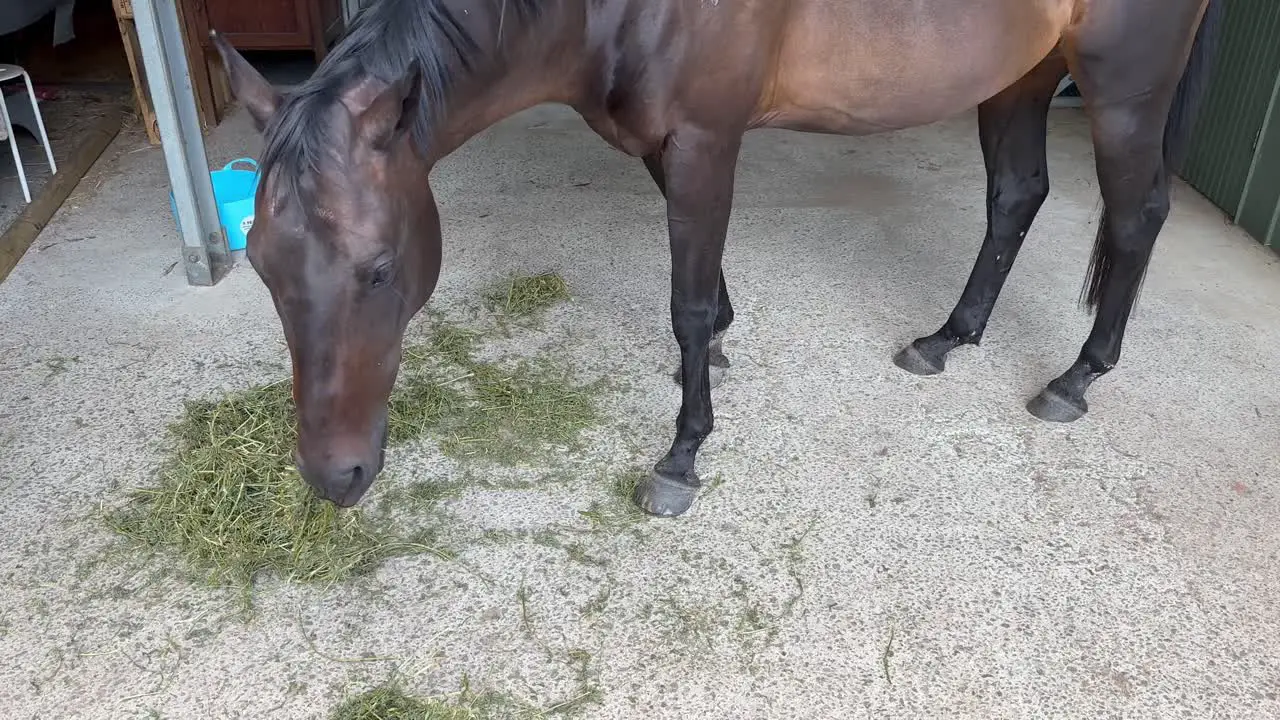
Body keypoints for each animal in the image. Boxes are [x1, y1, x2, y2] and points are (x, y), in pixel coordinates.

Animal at [209, 0, 1218, 515]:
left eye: (380, 269)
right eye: (259, 265)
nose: (334, 478)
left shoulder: (704, 140)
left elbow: (685, 302)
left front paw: (682, 456)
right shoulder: (669, 145)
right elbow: (706, 294)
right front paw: (724, 351)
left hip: (1124, 89)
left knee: (1138, 219)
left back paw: (1077, 377)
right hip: (1020, 75)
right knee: (1015, 196)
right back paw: (948, 338)